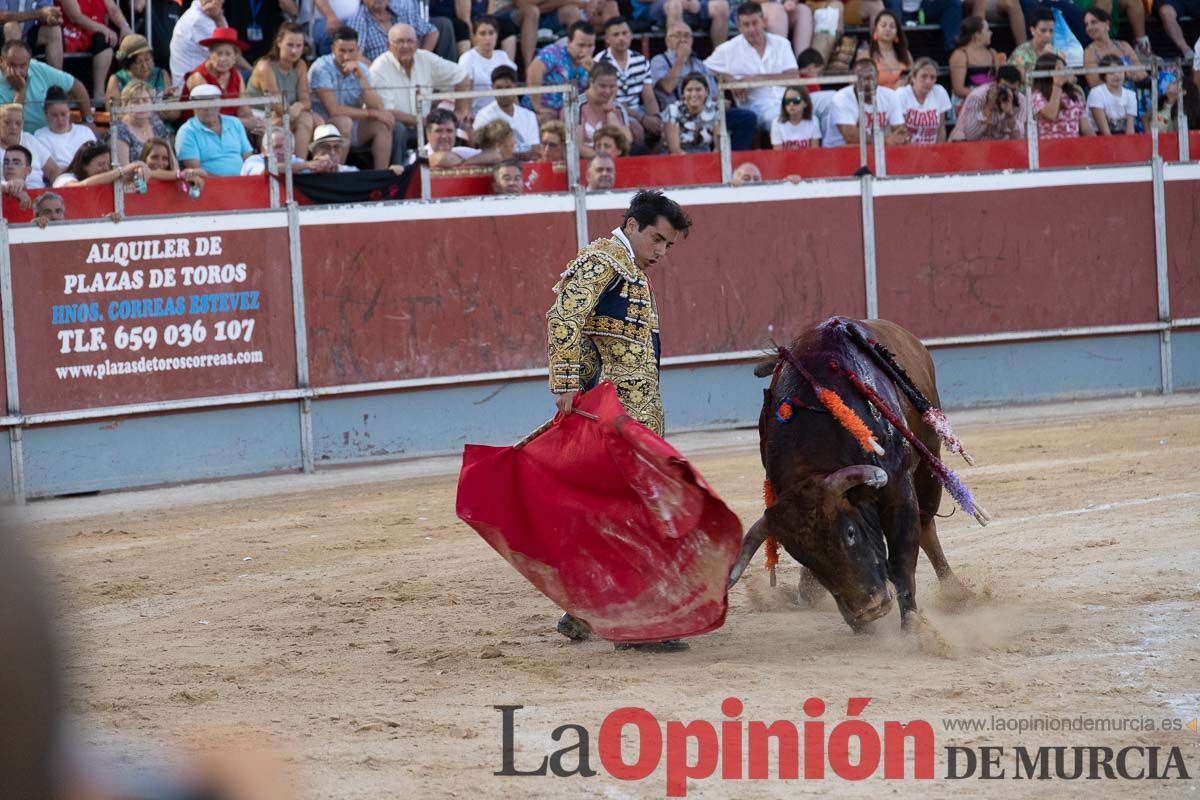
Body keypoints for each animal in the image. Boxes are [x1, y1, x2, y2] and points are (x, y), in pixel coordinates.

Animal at [729, 319, 974, 633]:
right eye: (801, 555)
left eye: (850, 532)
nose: (868, 609)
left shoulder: (898, 488)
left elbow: (902, 561)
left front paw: (913, 628)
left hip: (930, 456)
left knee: (926, 525)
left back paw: (956, 594)